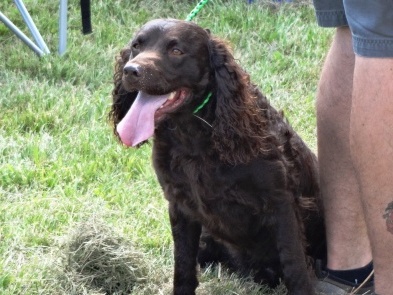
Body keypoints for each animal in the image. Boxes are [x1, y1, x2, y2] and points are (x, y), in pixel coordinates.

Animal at [110, 19, 324, 294]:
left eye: (176, 51)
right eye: (136, 46)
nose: (131, 71)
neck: (195, 139)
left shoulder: (281, 203)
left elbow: (295, 268)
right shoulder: (180, 205)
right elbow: (183, 267)